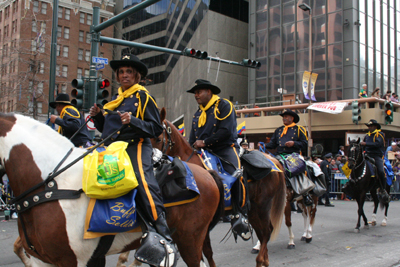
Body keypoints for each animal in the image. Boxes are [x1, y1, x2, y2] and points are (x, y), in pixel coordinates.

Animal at [0, 113, 225, 267]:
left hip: (190, 240)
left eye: (160, 136)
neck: (53, 185)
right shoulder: (44, 260)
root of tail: (207, 173)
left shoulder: (72, 260)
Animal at [151, 108, 288, 267]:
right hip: (253, 209)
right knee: (262, 233)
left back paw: (260, 259)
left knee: (267, 231)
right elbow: (207, 252)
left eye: (158, 138)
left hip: (262, 206)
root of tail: (273, 161)